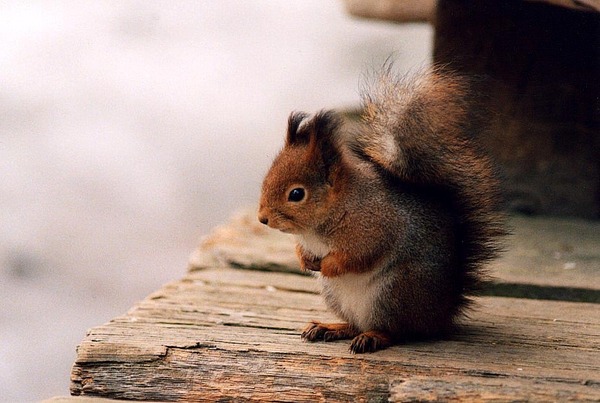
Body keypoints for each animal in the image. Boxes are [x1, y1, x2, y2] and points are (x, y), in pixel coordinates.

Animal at [258, 67, 506, 354]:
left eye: (296, 194)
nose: (262, 219)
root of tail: (440, 316)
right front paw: (304, 259)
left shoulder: (374, 227)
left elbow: (360, 255)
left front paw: (329, 264)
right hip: (338, 296)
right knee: (356, 325)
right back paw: (330, 327)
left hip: (396, 292)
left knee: (399, 331)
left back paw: (374, 337)